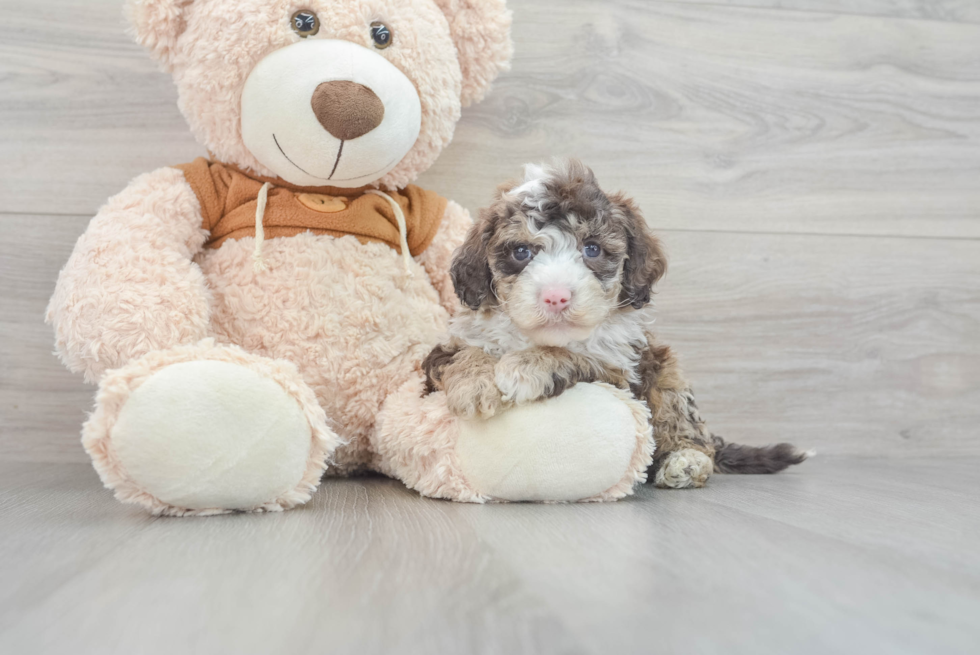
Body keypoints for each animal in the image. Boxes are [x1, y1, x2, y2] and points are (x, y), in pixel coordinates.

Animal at [424, 159, 808, 486]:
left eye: (592, 249)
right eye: (521, 253)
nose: (556, 296)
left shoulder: (620, 371)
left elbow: (576, 356)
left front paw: (525, 366)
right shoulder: (445, 351)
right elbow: (466, 354)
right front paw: (475, 384)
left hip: (667, 373)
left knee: (687, 427)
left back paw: (686, 462)